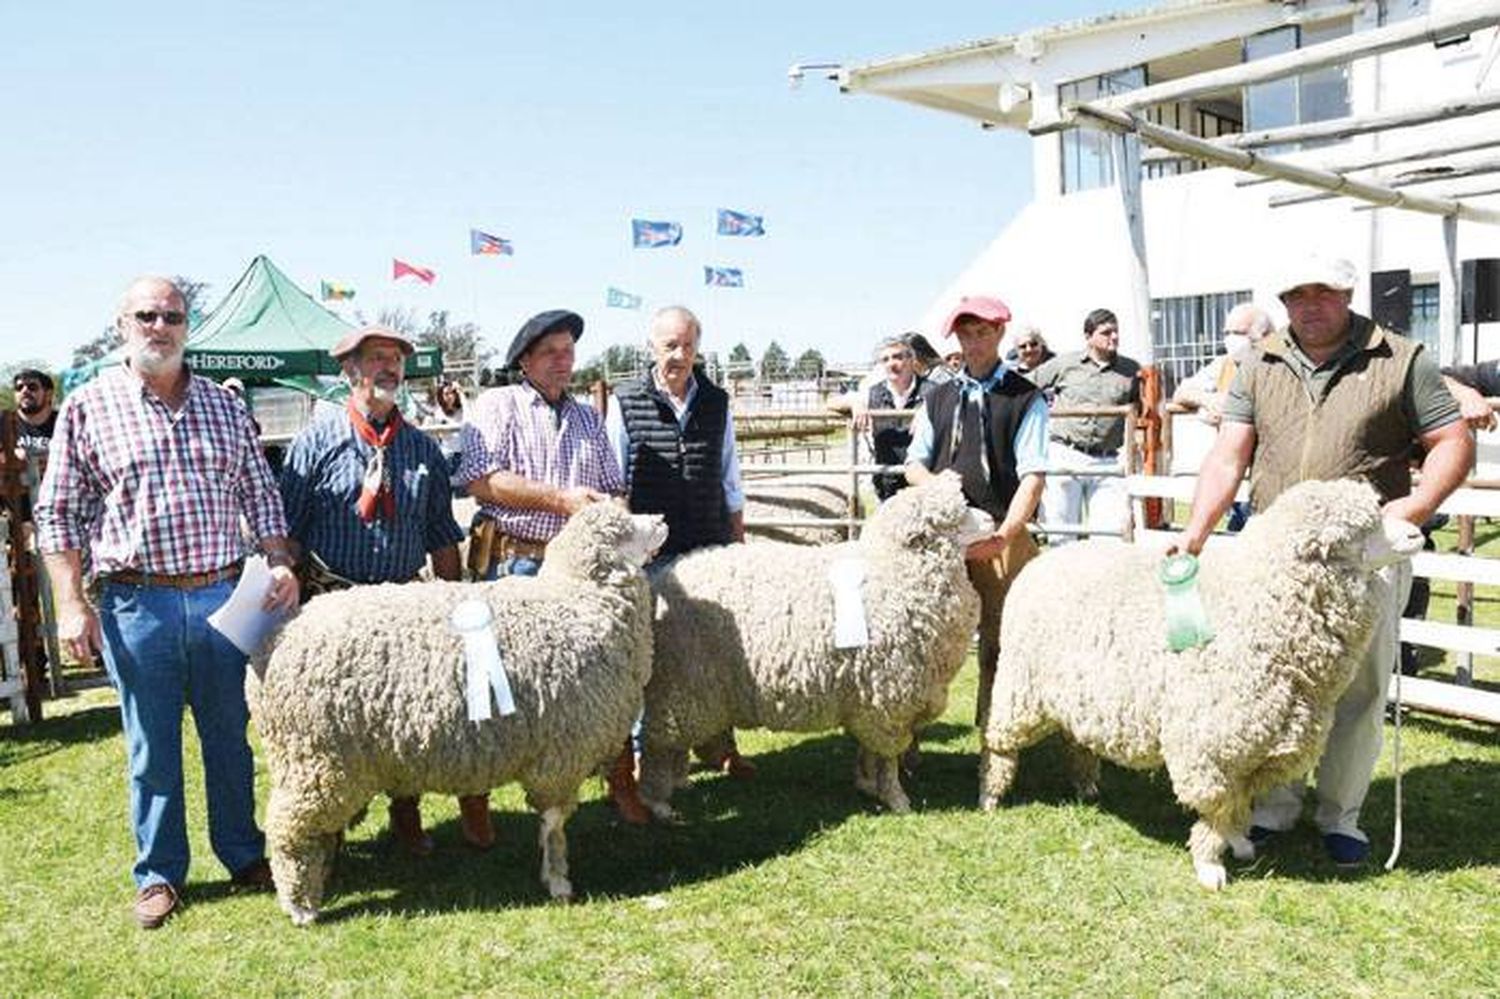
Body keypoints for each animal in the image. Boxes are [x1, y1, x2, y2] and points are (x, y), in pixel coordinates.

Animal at [249, 501, 666, 924]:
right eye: (626, 530)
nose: (661, 520)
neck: (578, 602)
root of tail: (275, 641)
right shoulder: (560, 755)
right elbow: (554, 824)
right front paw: (558, 879)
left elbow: (549, 824)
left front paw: (551, 872)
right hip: (315, 759)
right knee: (289, 830)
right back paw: (300, 905)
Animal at [636, 474, 996, 816]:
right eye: (956, 517)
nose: (993, 520)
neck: (894, 571)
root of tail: (660, 580)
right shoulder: (887, 700)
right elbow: (887, 759)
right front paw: (896, 799)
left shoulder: (867, 698)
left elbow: (869, 752)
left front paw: (867, 785)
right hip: (677, 686)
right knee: (657, 747)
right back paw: (658, 803)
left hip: (687, 691)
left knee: (674, 744)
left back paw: (679, 783)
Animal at [978, 477, 1422, 888]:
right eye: (1362, 528)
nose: (1417, 534)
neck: (1260, 605)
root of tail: (1045, 559)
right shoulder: (1211, 747)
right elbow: (1217, 810)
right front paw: (1210, 865)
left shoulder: (1258, 748)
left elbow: (1240, 807)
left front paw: (1240, 843)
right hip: (1020, 687)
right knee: (999, 743)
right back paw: (990, 796)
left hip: (1078, 694)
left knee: (1076, 739)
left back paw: (1086, 785)